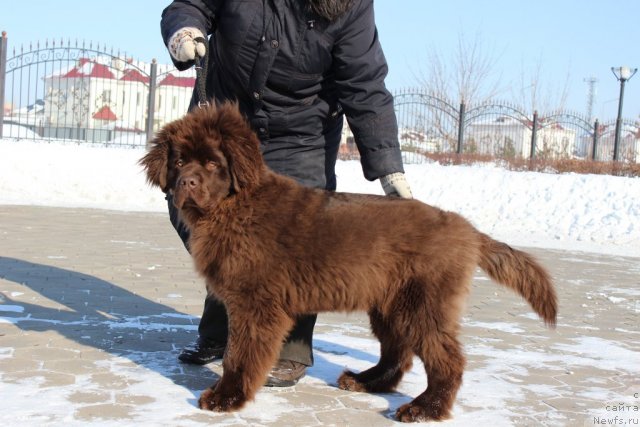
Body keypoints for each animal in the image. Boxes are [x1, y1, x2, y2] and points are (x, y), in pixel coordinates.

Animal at [139, 102, 556, 422]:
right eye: (180, 161)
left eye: (212, 164)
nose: (187, 183)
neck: (235, 208)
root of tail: (467, 229)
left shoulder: (255, 304)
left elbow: (238, 355)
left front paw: (226, 397)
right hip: (391, 304)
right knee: (398, 353)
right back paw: (366, 382)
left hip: (423, 304)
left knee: (446, 361)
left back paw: (425, 409)